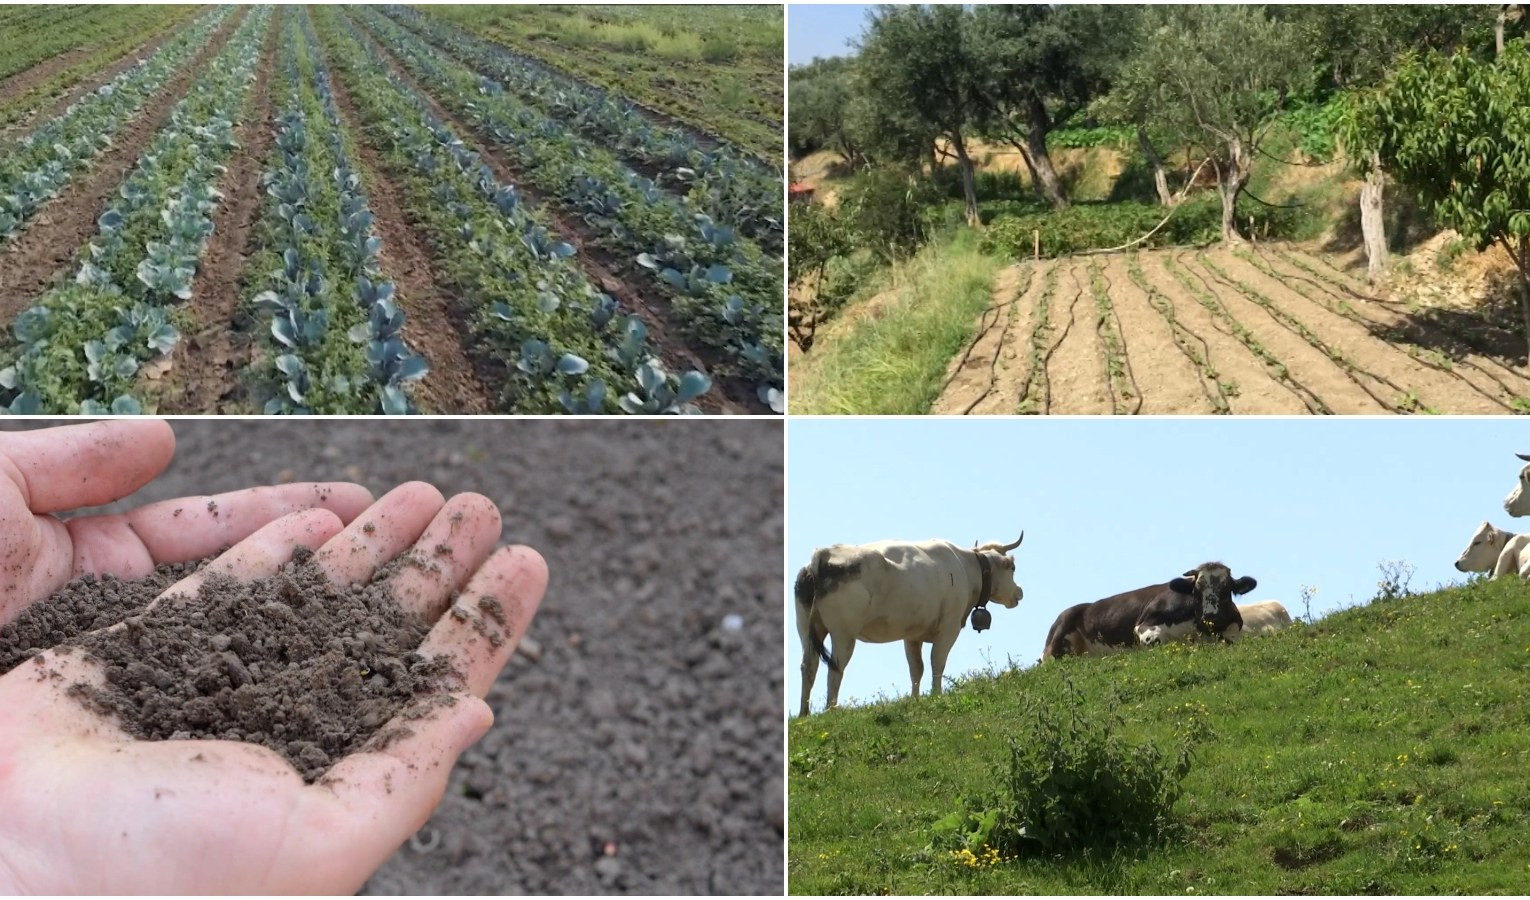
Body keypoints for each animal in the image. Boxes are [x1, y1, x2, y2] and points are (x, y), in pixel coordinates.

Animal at [795, 535, 1022, 716]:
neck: (966, 568)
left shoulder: (913, 635)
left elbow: (916, 668)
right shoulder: (949, 628)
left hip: (807, 629)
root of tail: (822, 555)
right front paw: (936, 695)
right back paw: (830, 710)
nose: (1019, 592)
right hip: (843, 634)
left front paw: (915, 700)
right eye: (1012, 568)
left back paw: (804, 714)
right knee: (835, 668)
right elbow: (937, 662)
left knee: (809, 667)